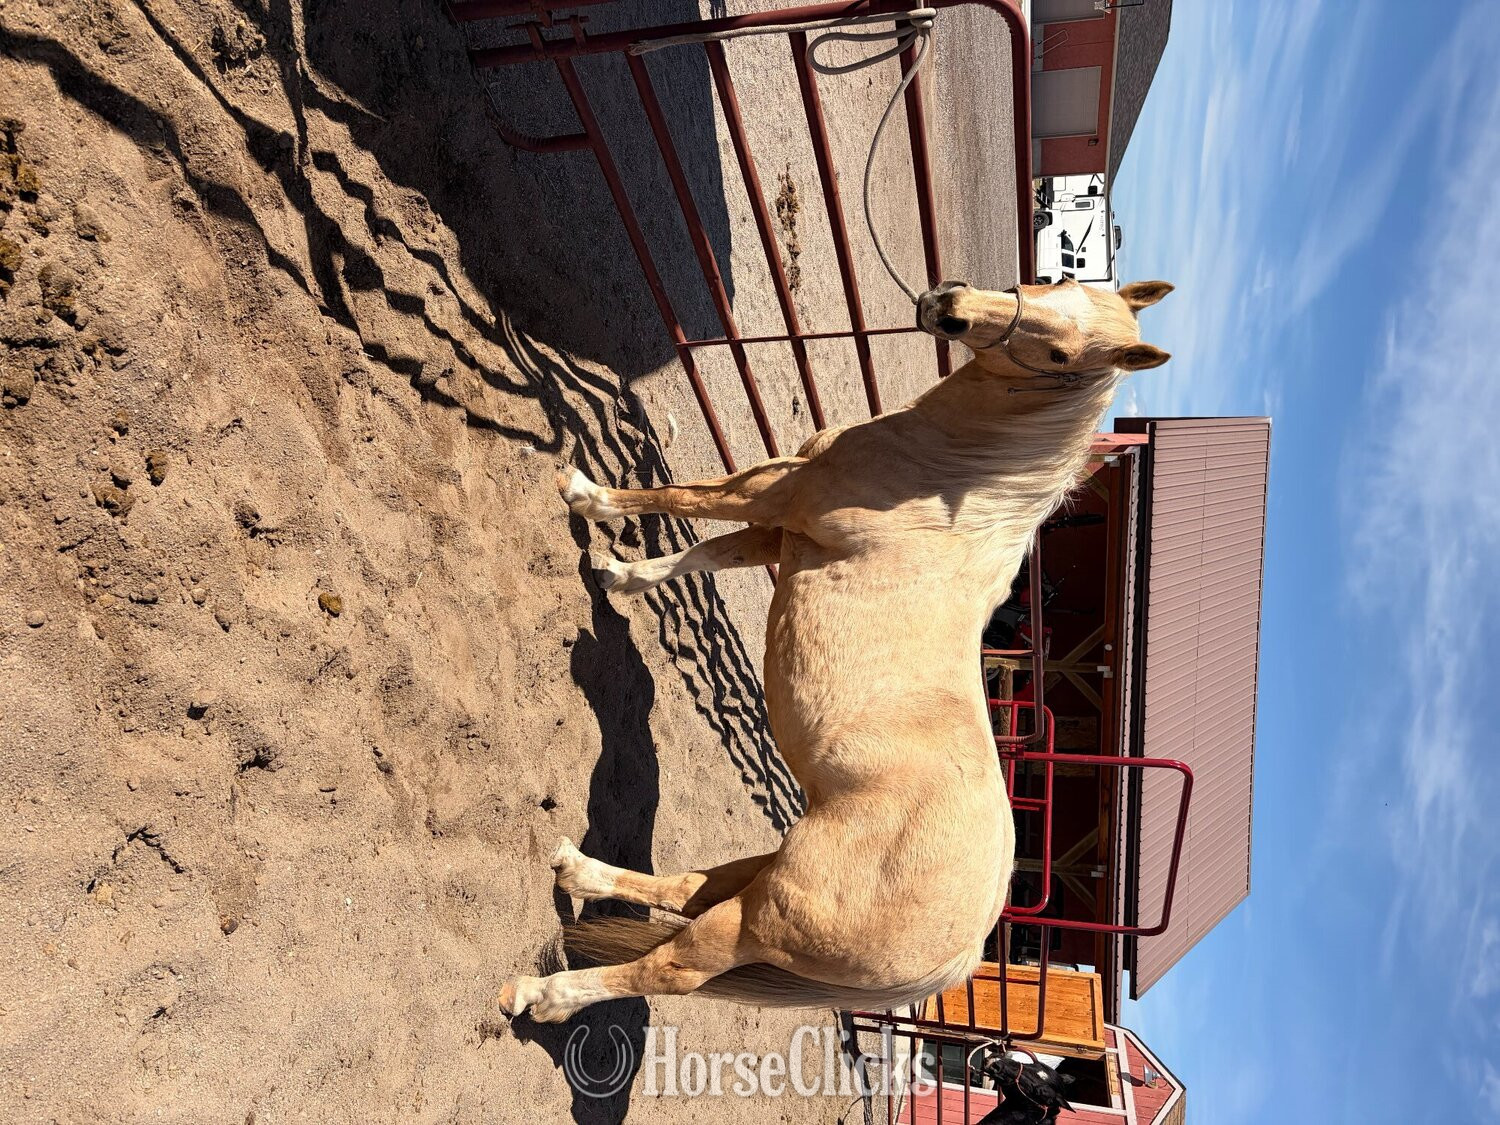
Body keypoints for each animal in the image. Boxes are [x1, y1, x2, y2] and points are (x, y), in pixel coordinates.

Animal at [499, 277, 1172, 1023]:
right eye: (1057, 284)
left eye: (1061, 356)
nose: (949, 307)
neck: (945, 477)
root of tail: (956, 958)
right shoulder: (782, 530)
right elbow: (705, 553)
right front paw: (621, 577)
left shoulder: (774, 492)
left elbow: (680, 496)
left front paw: (586, 496)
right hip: (768, 870)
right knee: (685, 888)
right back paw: (575, 869)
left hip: (761, 917)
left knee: (672, 967)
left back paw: (542, 995)